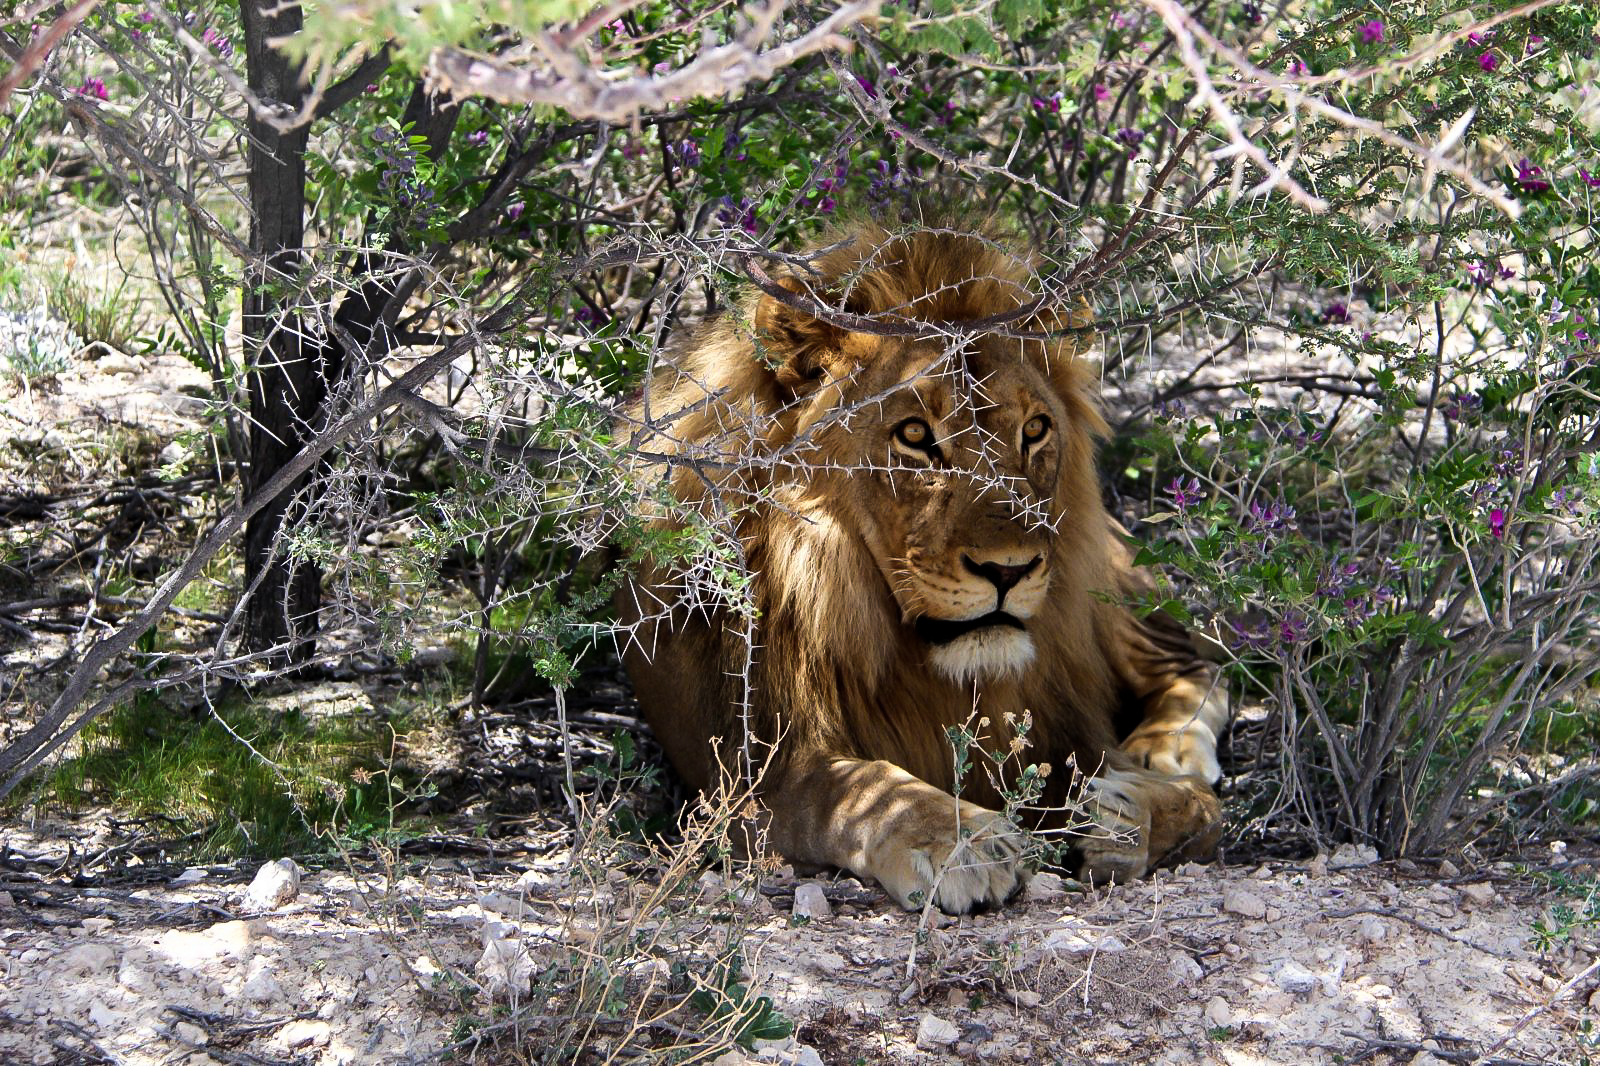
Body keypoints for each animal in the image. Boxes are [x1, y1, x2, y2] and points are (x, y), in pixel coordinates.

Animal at [615, 222, 1227, 915]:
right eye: (913, 435)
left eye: (1035, 429)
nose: (1010, 571)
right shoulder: (744, 777)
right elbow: (854, 788)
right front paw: (963, 841)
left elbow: (1208, 812)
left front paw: (1126, 812)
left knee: (1195, 662)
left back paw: (1167, 753)